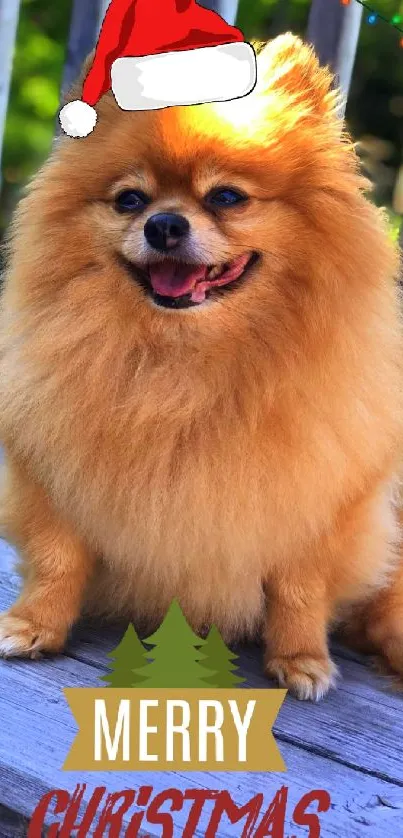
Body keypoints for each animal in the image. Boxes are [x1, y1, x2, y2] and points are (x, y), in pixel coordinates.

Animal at [0, 34, 403, 704]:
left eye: (226, 197)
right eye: (130, 200)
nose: (163, 223)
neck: (184, 369)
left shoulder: (322, 502)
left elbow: (299, 587)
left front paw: (300, 658)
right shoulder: (54, 476)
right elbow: (60, 559)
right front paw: (33, 626)